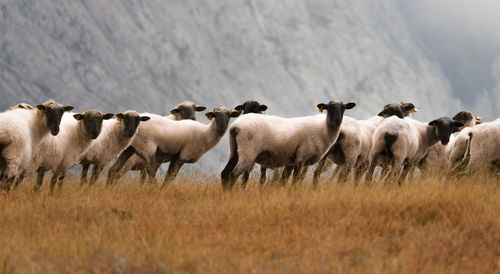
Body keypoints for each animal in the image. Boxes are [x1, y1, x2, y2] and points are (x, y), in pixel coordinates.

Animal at [108, 106, 242, 185]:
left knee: (113, 170)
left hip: (130, 148)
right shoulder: (183, 156)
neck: (205, 134)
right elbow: (170, 178)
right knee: (150, 172)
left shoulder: (175, 156)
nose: (222, 128)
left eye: (229, 116)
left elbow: (168, 177)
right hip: (148, 147)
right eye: (216, 116)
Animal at [222, 100, 356, 188]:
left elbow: (284, 181)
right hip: (247, 153)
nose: (337, 120)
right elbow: (295, 181)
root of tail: (235, 127)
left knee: (225, 174)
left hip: (234, 150)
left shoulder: (291, 160)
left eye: (343, 108)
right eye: (329, 108)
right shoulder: (301, 157)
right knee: (233, 176)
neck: (324, 130)